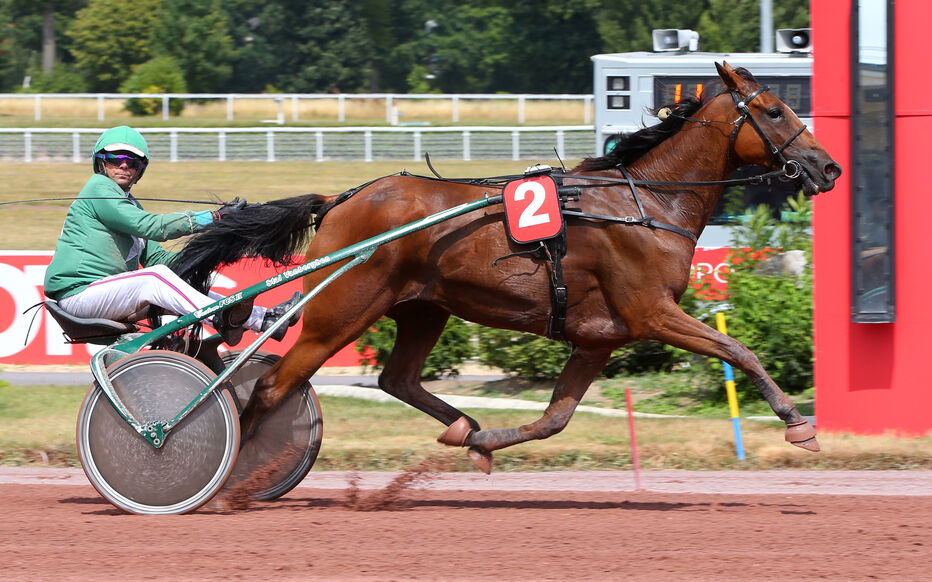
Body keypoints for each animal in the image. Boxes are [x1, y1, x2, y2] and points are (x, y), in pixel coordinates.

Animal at [172, 62, 841, 473]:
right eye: (775, 111)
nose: (828, 167)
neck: (646, 204)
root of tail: (343, 199)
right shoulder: (652, 312)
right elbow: (739, 351)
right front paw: (796, 423)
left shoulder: (599, 337)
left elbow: (554, 419)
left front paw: (486, 442)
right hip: (342, 313)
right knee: (272, 387)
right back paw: (233, 475)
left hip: (422, 308)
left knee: (398, 380)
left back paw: (464, 428)